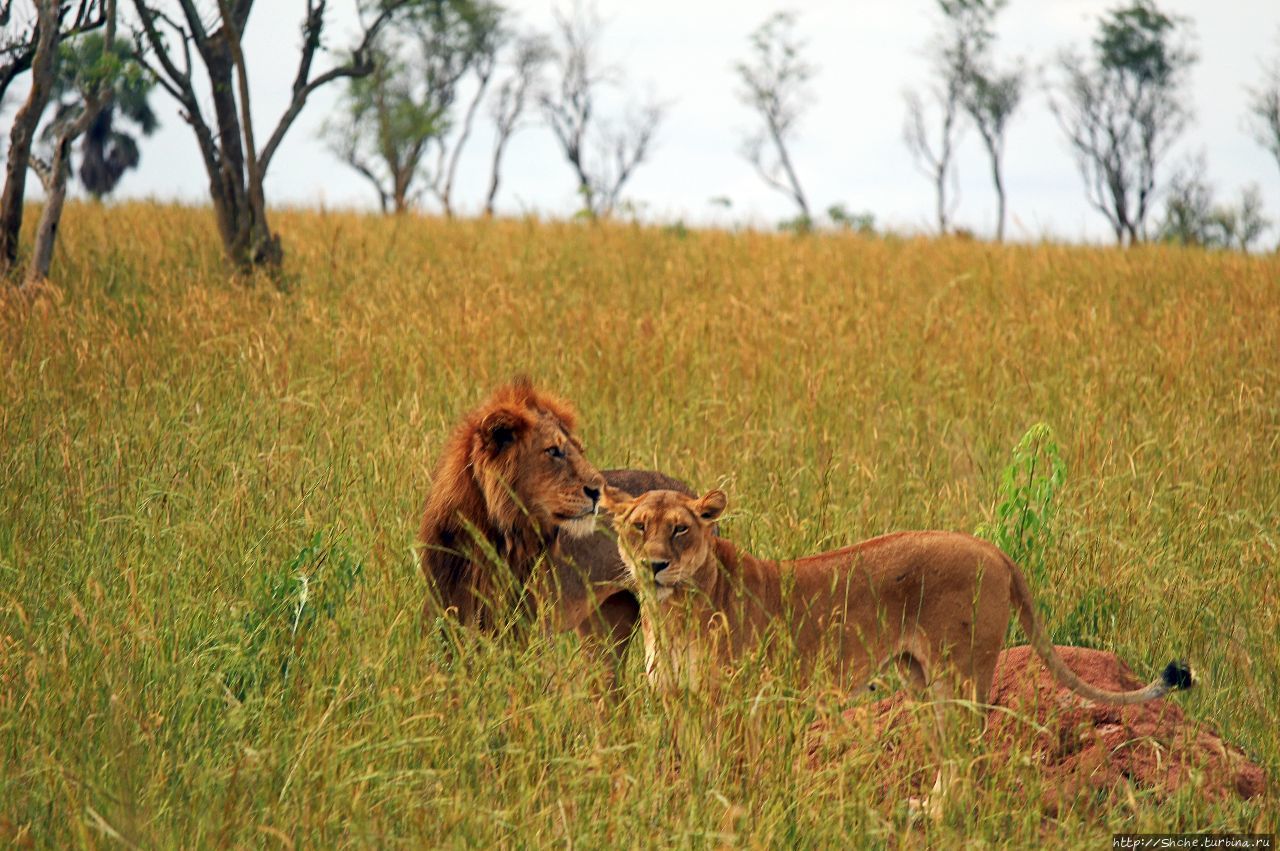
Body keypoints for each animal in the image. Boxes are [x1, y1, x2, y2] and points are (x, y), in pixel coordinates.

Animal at [417, 376, 701, 647]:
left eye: (579, 450)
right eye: (554, 451)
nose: (599, 490)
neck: (489, 533)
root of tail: (692, 495)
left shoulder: (534, 630)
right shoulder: (448, 619)